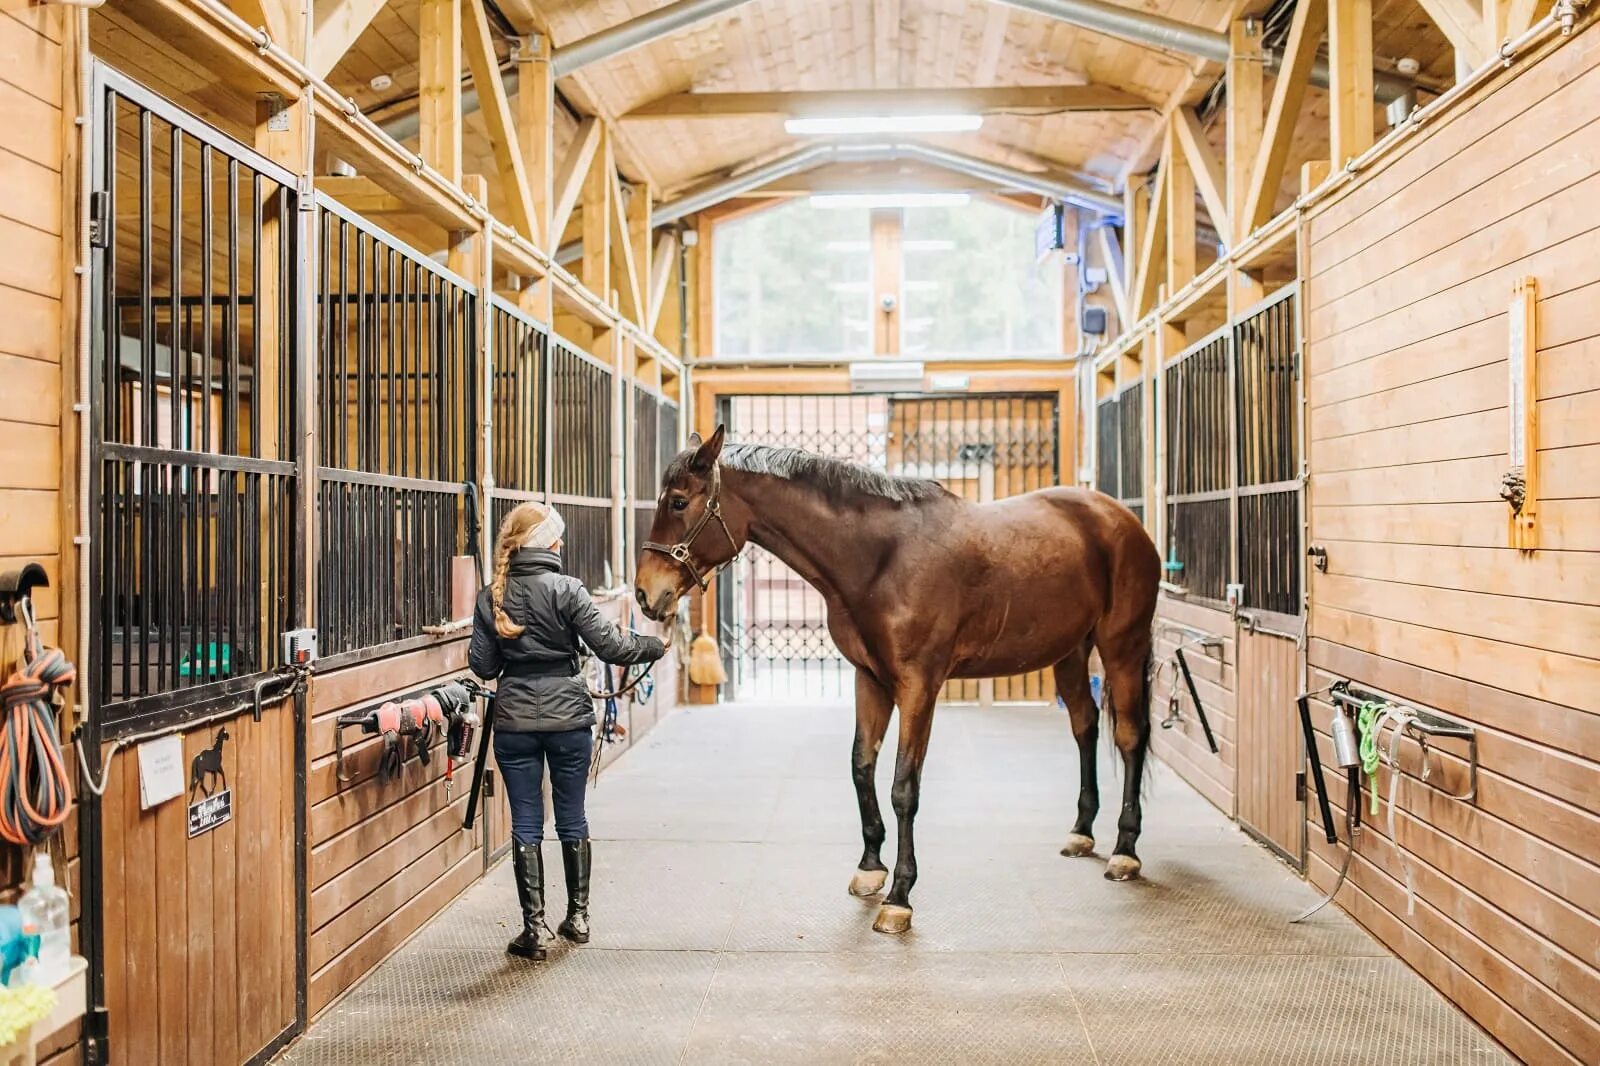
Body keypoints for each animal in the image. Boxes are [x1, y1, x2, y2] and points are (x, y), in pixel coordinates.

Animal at [630, 422, 1158, 928]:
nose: (644, 594)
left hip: (1122, 647)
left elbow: (904, 786)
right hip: (1070, 653)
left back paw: (1125, 852)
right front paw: (870, 869)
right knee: (1085, 727)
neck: (881, 559)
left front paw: (900, 896)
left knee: (1130, 736)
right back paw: (1082, 833)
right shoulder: (870, 679)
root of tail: (1122, 520)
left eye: (679, 502)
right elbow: (861, 766)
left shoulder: (919, 687)